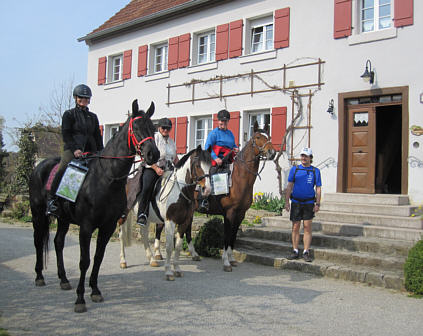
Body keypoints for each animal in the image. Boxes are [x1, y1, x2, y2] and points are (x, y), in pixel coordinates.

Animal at [28, 99, 161, 312]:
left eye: (153, 128)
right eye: (137, 128)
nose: (153, 154)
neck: (106, 178)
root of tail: (39, 167)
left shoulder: (107, 227)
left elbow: (98, 258)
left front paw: (95, 291)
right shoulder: (86, 226)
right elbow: (85, 261)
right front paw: (80, 299)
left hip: (64, 219)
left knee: (58, 243)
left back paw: (63, 279)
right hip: (38, 214)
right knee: (38, 241)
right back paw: (39, 276)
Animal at [119, 146, 212, 280]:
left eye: (210, 165)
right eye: (198, 165)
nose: (207, 190)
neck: (179, 191)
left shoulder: (184, 222)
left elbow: (178, 246)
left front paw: (177, 269)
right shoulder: (170, 221)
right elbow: (169, 247)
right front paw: (168, 271)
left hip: (146, 217)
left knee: (144, 234)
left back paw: (152, 259)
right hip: (124, 215)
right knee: (121, 236)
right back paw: (123, 261)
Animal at [206, 122, 278, 272]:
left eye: (269, 137)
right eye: (257, 137)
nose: (272, 153)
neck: (239, 178)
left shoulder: (240, 214)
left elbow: (233, 236)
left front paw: (232, 259)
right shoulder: (229, 213)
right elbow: (227, 236)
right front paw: (226, 262)